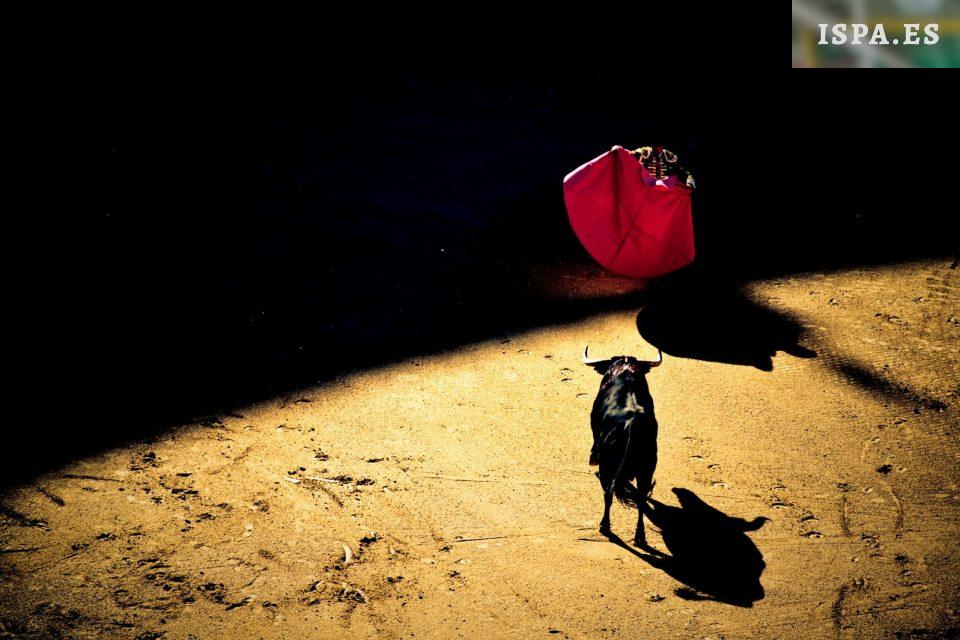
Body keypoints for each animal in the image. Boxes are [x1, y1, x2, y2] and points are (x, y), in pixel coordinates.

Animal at [580, 348, 664, 548]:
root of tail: (631, 424)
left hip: (609, 467)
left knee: (608, 493)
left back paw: (605, 526)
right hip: (647, 467)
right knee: (641, 498)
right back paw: (639, 536)